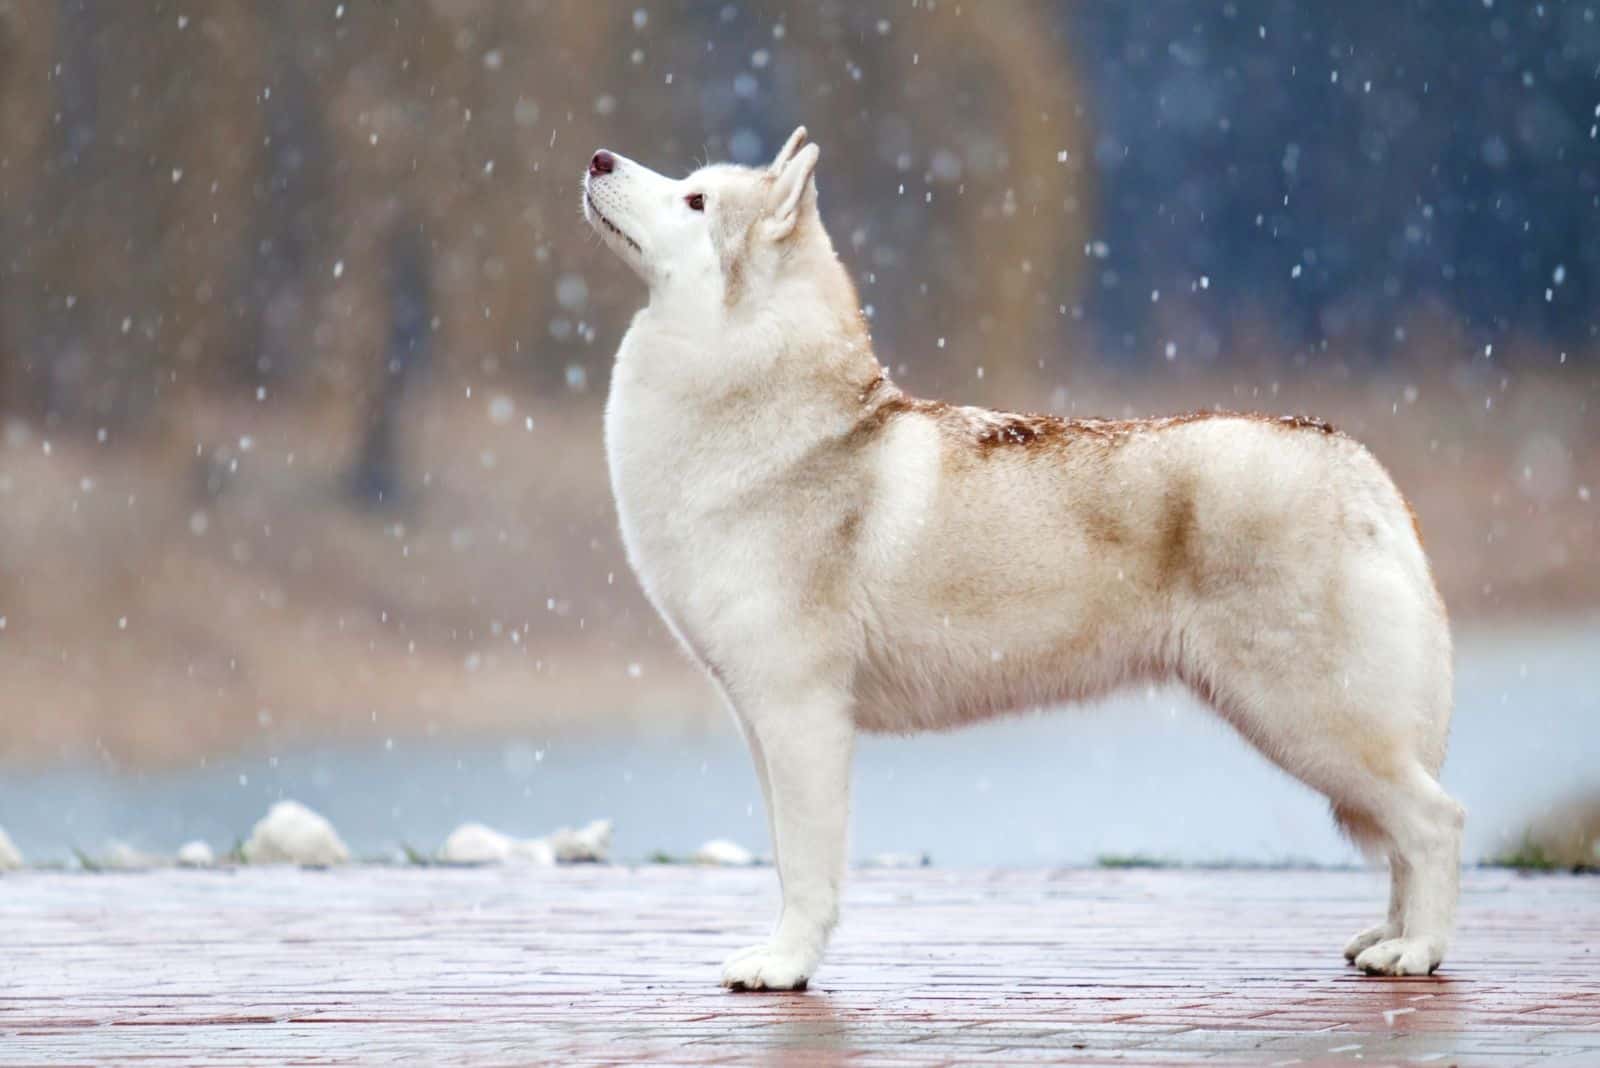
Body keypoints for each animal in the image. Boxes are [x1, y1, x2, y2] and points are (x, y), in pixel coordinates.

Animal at [585, 129, 1465, 991]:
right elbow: (783, 858)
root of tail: (1357, 461)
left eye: (696, 200)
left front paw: (785, 967)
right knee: (1404, 835)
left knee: (1437, 821)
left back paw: (1419, 952)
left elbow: (806, 870)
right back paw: (1386, 939)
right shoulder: (765, 720)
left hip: (1307, 721)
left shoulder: (803, 714)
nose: (598, 159)